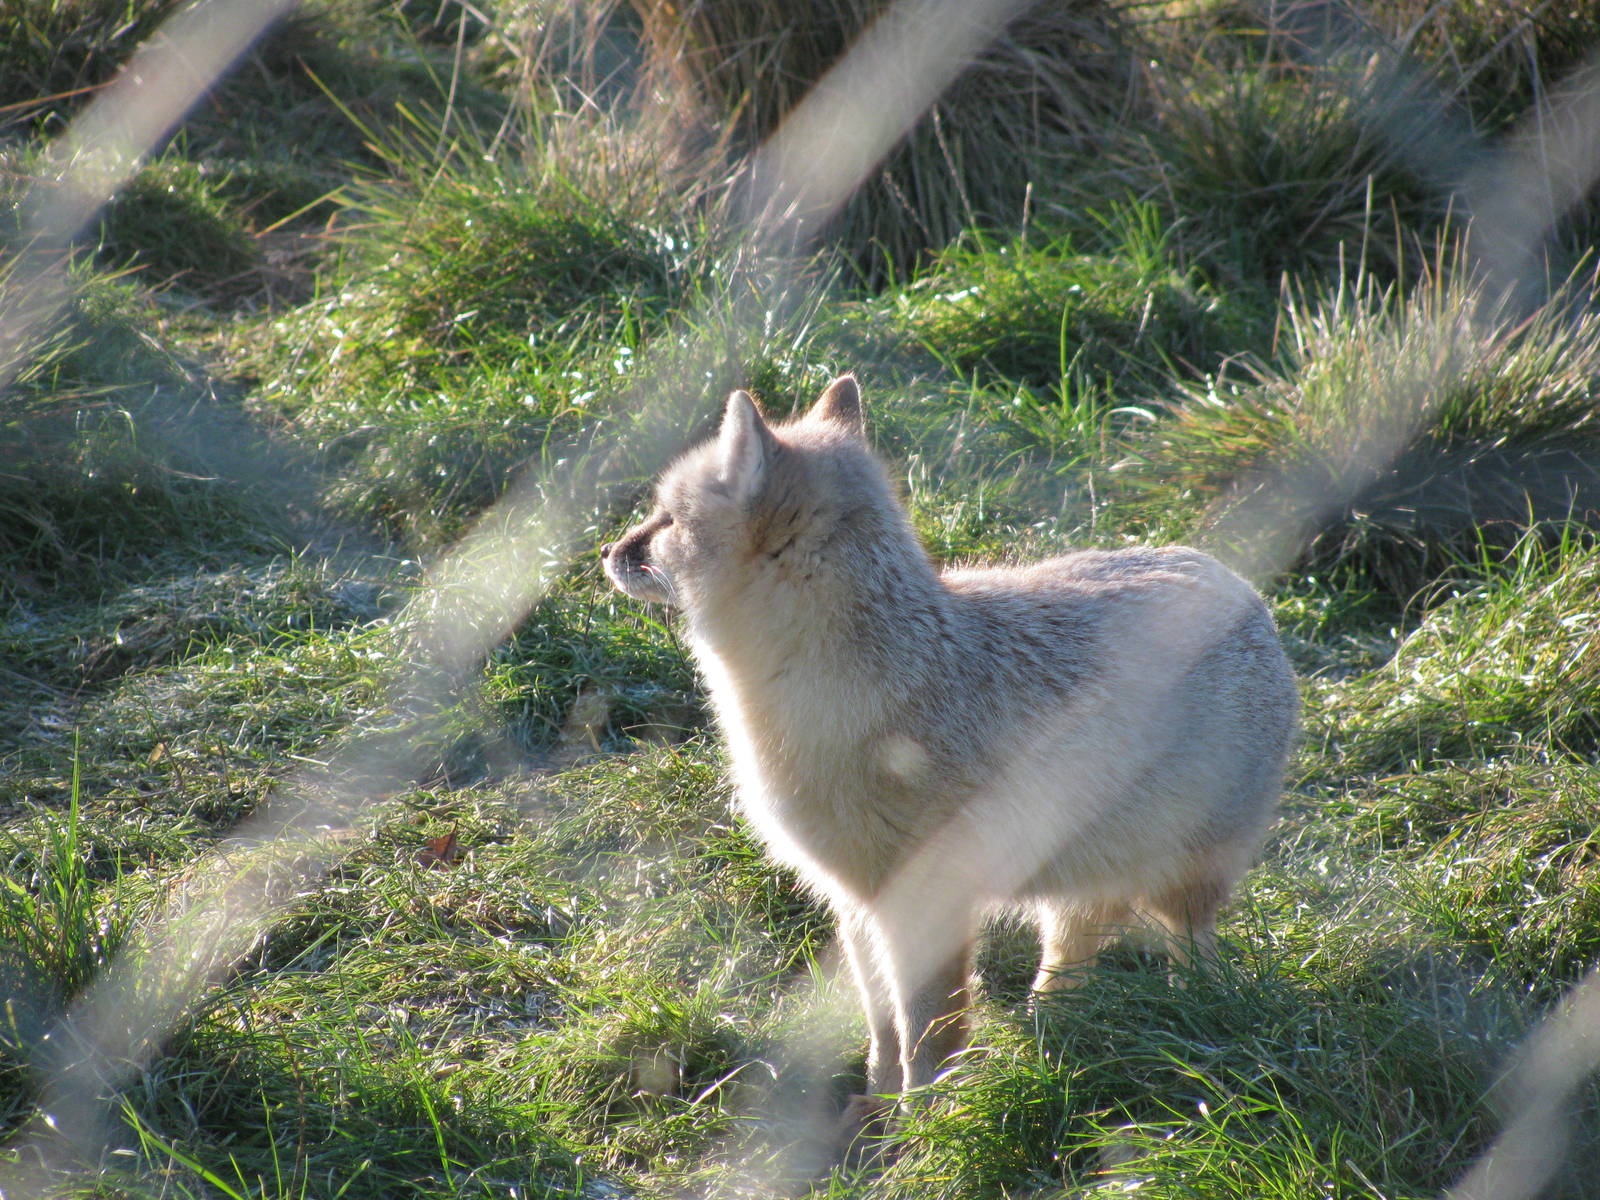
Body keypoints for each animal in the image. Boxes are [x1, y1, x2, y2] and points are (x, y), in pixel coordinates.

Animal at [600, 373, 1298, 1147]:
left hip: (1182, 886)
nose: (607, 551)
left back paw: (1184, 1027)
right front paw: (874, 1109)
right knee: (1071, 963)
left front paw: (920, 1131)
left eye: (666, 520)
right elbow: (883, 1026)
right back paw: (1042, 1040)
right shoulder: (855, 901)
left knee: (1193, 963)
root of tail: (1243, 588)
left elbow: (929, 1034)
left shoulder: (926, 903)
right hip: (1075, 882)